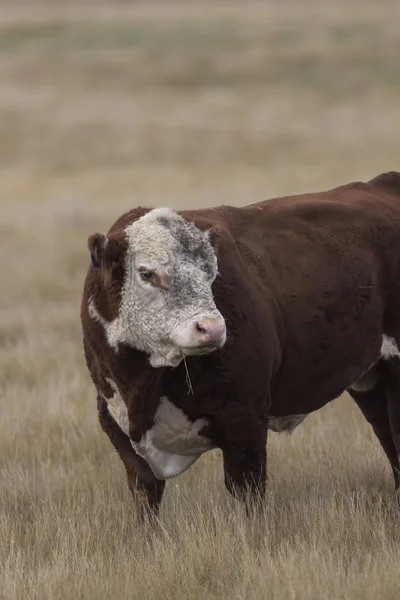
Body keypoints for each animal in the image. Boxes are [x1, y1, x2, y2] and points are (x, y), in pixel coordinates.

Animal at [79, 172, 400, 516]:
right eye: (147, 273)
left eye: (211, 273)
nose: (211, 329)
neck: (141, 388)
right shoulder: (119, 431)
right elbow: (145, 498)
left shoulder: (245, 420)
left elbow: (248, 495)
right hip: (371, 382)